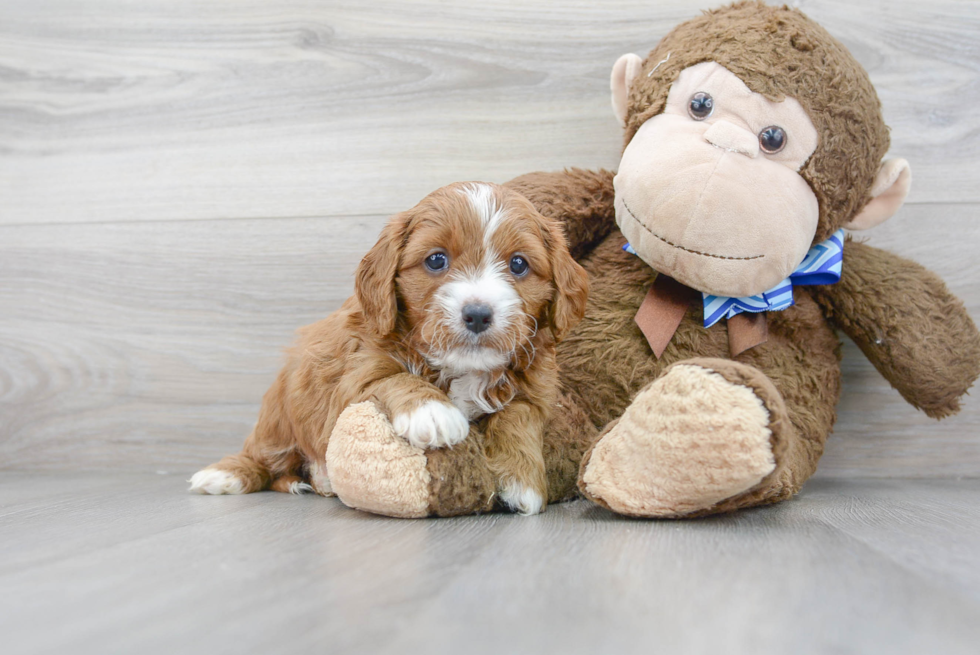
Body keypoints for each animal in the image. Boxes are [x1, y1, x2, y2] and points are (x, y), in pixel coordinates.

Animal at [191, 182, 588, 516]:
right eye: (436, 260)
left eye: (519, 264)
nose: (477, 314)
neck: (461, 367)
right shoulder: (355, 373)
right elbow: (394, 378)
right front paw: (433, 412)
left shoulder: (535, 392)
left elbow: (517, 416)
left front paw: (523, 480)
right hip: (278, 417)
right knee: (261, 456)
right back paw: (225, 475)